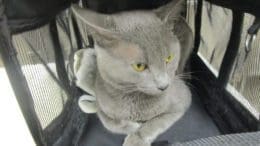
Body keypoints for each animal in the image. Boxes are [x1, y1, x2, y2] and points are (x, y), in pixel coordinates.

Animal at [71, 0, 193, 145]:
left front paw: (136, 138)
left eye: (169, 58)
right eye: (139, 66)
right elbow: (108, 121)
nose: (164, 86)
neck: (132, 98)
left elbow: (156, 122)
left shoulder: (182, 99)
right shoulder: (101, 103)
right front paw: (132, 126)